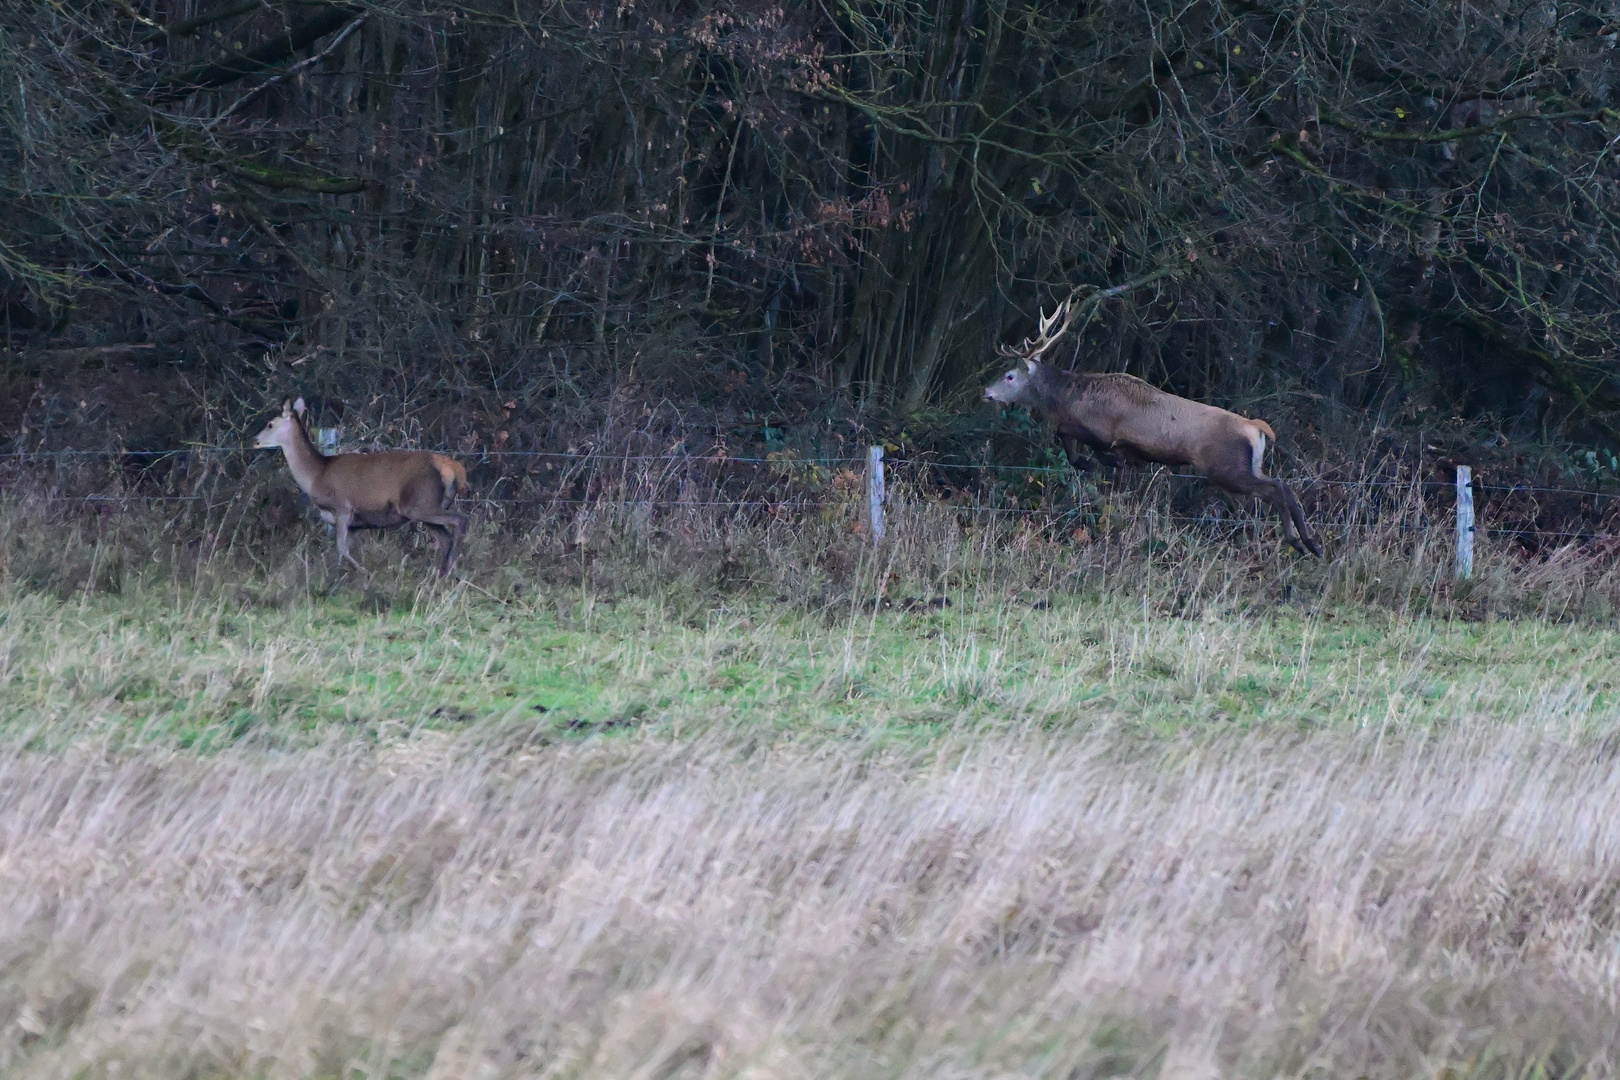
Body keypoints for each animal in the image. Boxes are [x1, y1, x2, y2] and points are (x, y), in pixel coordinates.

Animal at [251, 396, 469, 579]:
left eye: (270, 424)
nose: (255, 440)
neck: (316, 475)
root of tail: (452, 469)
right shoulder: (357, 524)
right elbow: (340, 552)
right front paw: (338, 578)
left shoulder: (343, 507)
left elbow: (341, 548)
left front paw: (364, 574)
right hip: (426, 507)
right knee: (445, 538)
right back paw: (442, 575)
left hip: (420, 503)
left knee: (461, 520)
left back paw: (450, 570)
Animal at [978, 302, 1321, 557]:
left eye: (1010, 375)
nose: (986, 392)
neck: (1071, 397)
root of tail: (1257, 428)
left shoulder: (1103, 431)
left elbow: (1068, 437)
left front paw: (1089, 463)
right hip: (1249, 465)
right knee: (1283, 486)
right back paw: (1310, 543)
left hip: (1225, 467)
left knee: (1276, 489)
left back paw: (1299, 541)